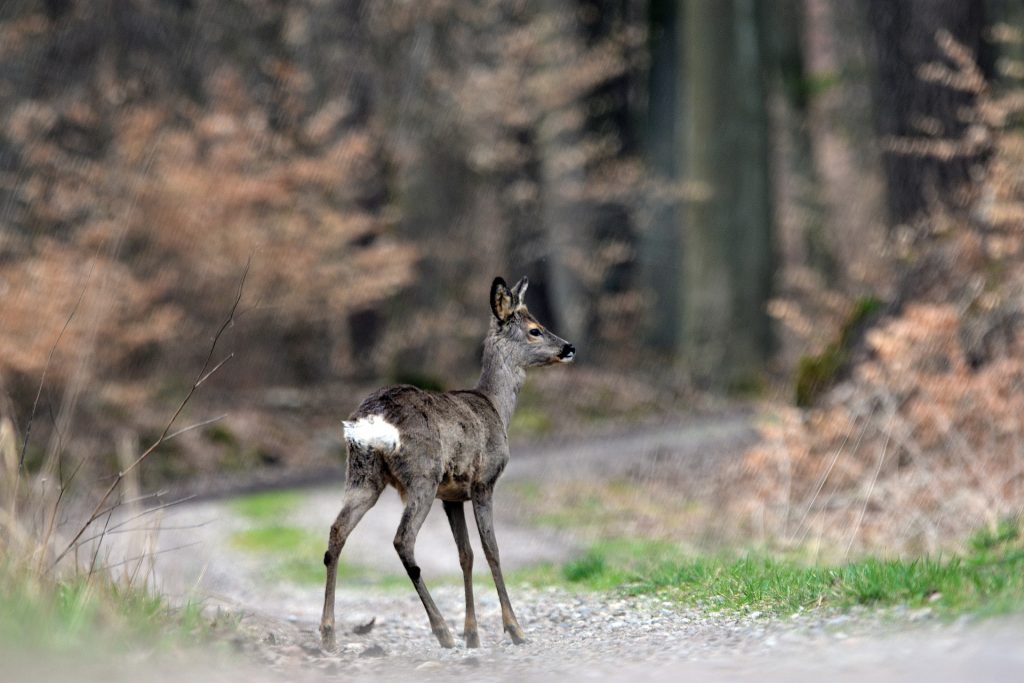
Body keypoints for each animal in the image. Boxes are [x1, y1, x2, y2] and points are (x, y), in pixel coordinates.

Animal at [319, 274, 577, 651]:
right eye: (535, 329)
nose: (569, 347)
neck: (497, 407)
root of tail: (372, 418)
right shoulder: (484, 481)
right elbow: (491, 550)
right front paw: (514, 629)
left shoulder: (452, 497)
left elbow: (465, 555)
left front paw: (473, 633)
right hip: (421, 475)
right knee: (403, 540)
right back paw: (442, 631)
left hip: (362, 475)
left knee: (337, 533)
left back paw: (328, 633)